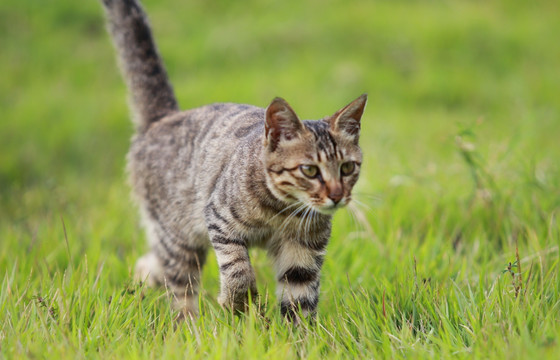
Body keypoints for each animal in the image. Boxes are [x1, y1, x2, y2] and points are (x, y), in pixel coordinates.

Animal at [98, 0, 366, 320]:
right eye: (310, 170)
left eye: (347, 168)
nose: (337, 196)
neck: (283, 211)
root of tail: (163, 118)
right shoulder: (218, 218)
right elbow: (238, 270)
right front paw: (237, 303)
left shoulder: (302, 251)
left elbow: (299, 301)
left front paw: (299, 333)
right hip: (179, 237)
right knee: (180, 293)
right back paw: (187, 326)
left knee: (152, 264)